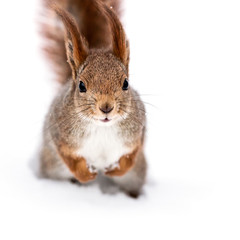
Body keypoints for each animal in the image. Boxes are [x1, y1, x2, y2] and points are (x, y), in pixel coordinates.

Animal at [39, 0, 146, 198]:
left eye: (126, 83)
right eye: (81, 85)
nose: (106, 108)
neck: (101, 127)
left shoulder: (137, 132)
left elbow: (131, 155)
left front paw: (115, 168)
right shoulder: (60, 133)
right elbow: (69, 158)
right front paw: (87, 174)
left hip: (136, 175)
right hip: (51, 167)